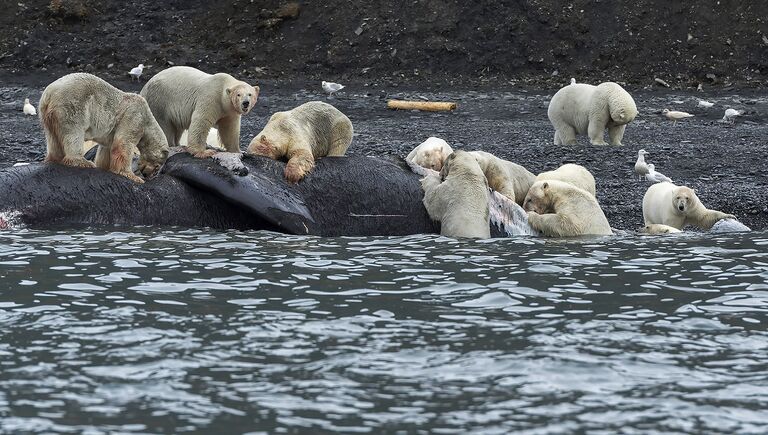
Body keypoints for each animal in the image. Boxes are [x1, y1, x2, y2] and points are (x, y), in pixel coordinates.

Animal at [39, 74, 168, 183]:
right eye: (157, 166)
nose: (148, 175)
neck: (148, 119)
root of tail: (49, 94)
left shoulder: (112, 133)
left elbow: (107, 149)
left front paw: (104, 167)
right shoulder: (134, 116)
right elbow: (123, 144)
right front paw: (132, 176)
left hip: (47, 114)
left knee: (52, 137)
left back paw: (55, 158)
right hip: (72, 106)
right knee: (74, 134)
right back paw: (82, 161)